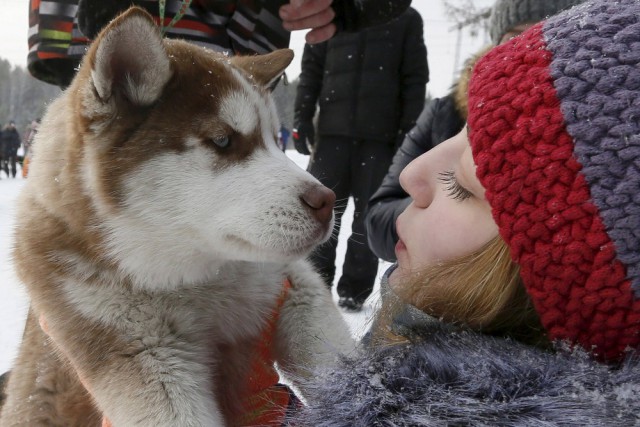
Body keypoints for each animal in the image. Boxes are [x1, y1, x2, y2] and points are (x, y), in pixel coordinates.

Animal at [0, 7, 352, 427]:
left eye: (274, 141)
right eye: (223, 141)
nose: (327, 201)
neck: (194, 276)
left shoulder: (290, 282)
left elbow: (332, 351)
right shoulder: (135, 352)